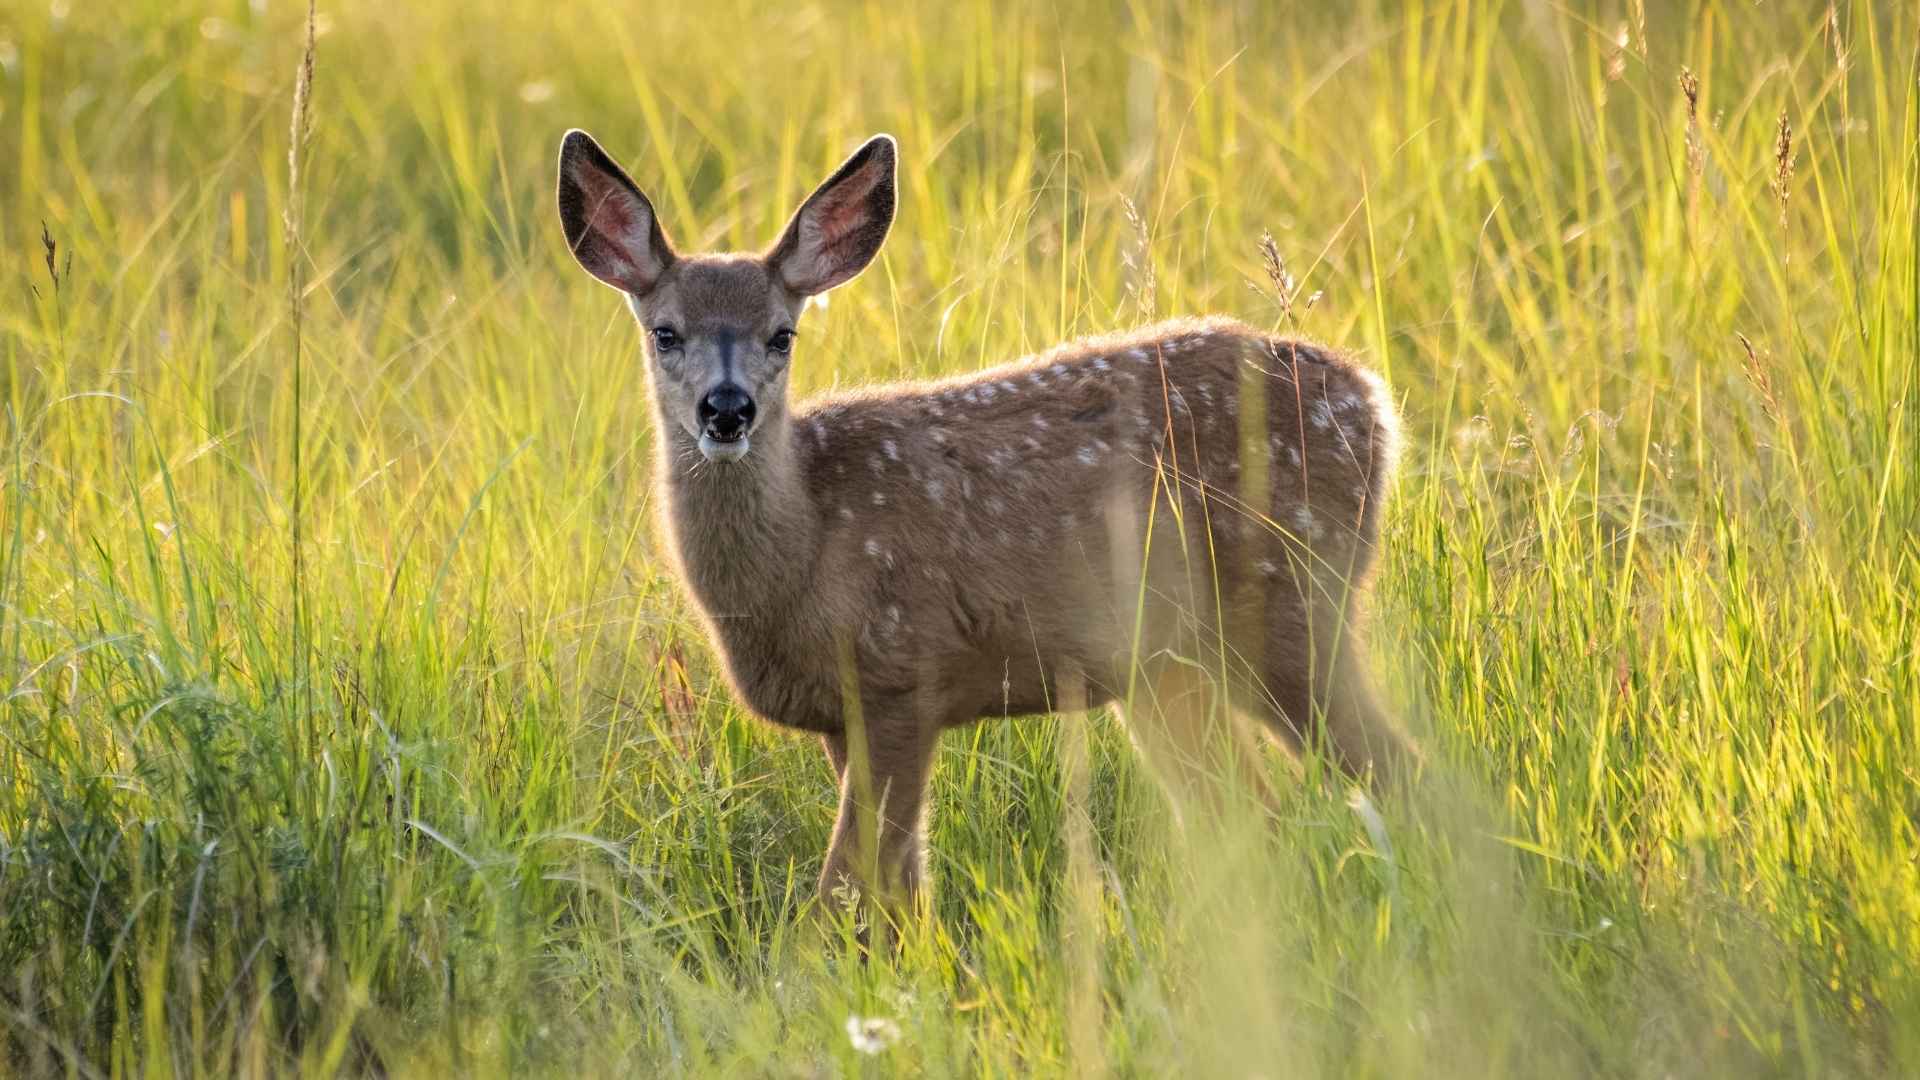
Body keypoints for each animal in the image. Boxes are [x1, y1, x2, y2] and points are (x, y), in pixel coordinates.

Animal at [555, 129, 1415, 915]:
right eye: (665, 332)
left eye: (782, 333)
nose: (727, 409)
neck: (804, 550)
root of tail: (1373, 403)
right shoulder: (843, 715)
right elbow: (900, 894)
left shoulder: (901, 674)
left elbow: (849, 890)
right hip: (1166, 665)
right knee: (1244, 811)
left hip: (1292, 598)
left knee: (1398, 770)